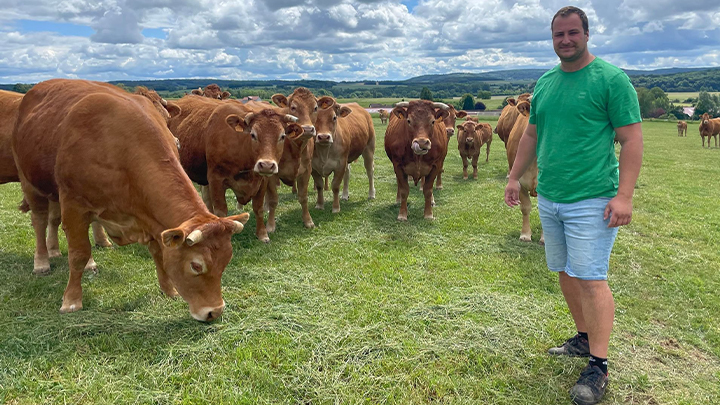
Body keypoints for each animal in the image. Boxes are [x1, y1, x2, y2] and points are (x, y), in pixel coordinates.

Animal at [12, 78, 250, 318]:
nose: (215, 312)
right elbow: (78, 253)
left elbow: (158, 252)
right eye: (196, 265)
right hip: (29, 181)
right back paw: (42, 261)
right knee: (41, 221)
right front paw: (71, 300)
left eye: (226, 261)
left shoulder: (149, 217)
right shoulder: (73, 204)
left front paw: (168, 289)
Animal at [170, 94, 302, 243]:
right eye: (253, 134)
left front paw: (262, 234)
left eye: (282, 136)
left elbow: (258, 208)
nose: (267, 165)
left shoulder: (262, 181)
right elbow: (221, 211)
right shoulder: (216, 180)